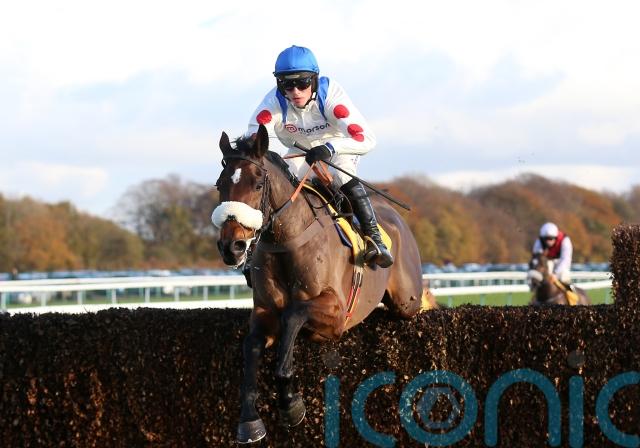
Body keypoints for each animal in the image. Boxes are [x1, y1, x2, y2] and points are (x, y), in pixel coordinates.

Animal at [212, 124, 436, 443]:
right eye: (220, 185)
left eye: (256, 185)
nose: (232, 246)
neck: (287, 241)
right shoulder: (264, 312)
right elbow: (250, 350)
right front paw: (249, 421)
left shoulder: (336, 315)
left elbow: (293, 317)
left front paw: (291, 404)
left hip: (408, 298)